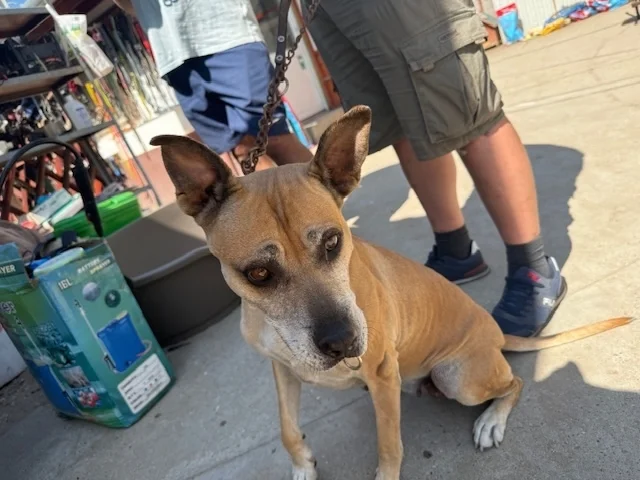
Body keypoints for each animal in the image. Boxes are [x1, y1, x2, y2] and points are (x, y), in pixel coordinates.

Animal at [151, 106, 632, 480]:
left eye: (333, 242)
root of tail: (496, 334)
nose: (343, 342)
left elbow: (389, 446)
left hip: (458, 376)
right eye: (258, 273)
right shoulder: (282, 369)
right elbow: (287, 428)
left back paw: (491, 421)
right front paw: (303, 464)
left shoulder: (381, 376)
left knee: (514, 381)